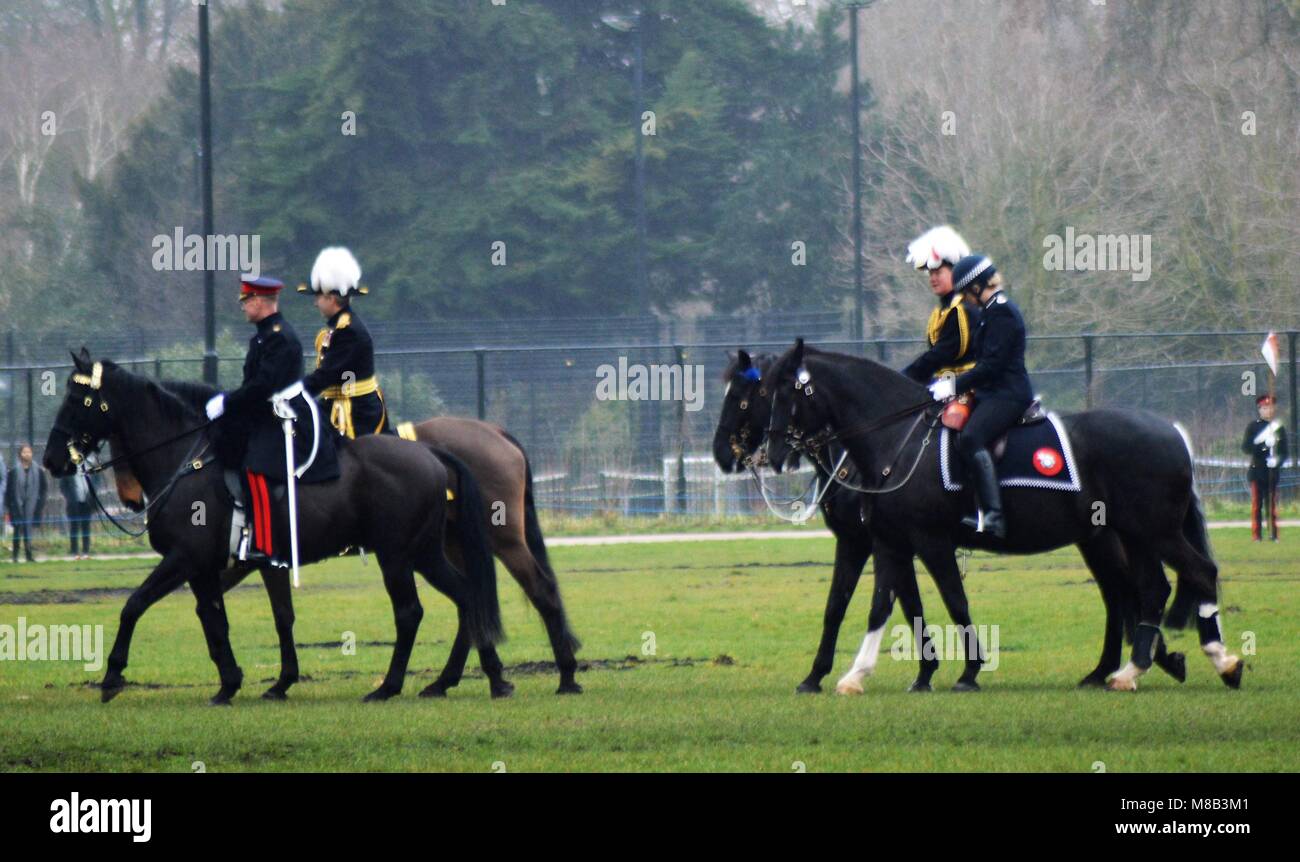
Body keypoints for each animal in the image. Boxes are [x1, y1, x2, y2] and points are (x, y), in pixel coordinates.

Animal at [45, 353, 504, 707]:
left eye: (79, 399)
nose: (52, 459)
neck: (187, 462)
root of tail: (429, 452)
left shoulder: (184, 559)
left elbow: (134, 604)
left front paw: (112, 677)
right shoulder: (214, 566)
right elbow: (223, 618)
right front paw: (234, 682)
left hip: (396, 556)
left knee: (410, 612)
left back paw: (390, 687)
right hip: (423, 552)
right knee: (466, 597)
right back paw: (470, 679)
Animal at [764, 340, 1242, 691]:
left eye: (784, 393)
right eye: (761, 394)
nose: (771, 453)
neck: (898, 439)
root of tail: (1171, 430)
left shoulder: (926, 541)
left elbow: (951, 601)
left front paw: (967, 671)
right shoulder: (888, 542)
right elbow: (878, 605)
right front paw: (856, 675)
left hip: (1152, 532)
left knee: (1196, 572)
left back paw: (1219, 661)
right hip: (1130, 536)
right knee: (1148, 589)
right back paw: (1130, 669)